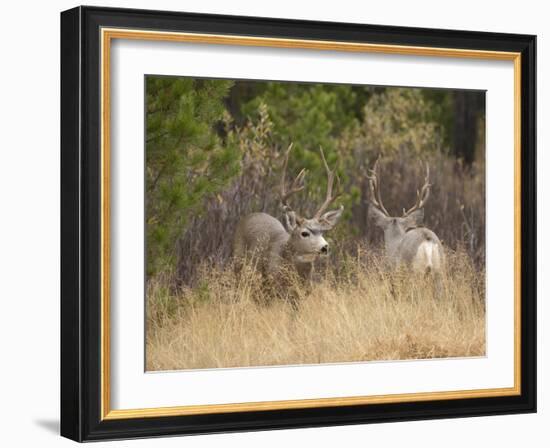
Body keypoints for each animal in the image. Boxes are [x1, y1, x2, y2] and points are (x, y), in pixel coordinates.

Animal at [234, 144, 344, 282]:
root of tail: (250, 215)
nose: (325, 247)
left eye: (322, 232)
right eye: (304, 233)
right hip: (238, 258)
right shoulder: (269, 279)